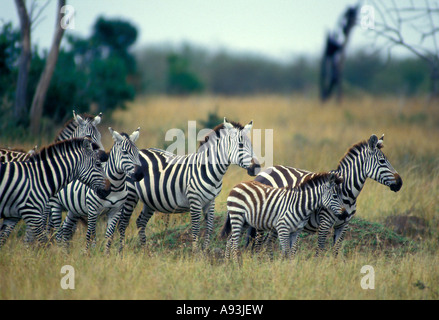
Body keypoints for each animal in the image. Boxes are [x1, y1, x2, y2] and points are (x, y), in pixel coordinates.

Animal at [118, 118, 260, 252]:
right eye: (241, 145)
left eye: (251, 145)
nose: (257, 167)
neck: (208, 169)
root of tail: (141, 151)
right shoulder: (195, 200)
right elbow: (196, 228)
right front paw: (195, 253)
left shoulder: (211, 201)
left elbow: (209, 228)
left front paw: (205, 251)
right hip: (131, 195)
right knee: (123, 223)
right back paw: (121, 251)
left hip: (150, 199)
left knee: (140, 222)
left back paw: (144, 251)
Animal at [248, 134, 402, 256]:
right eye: (382, 161)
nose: (400, 183)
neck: (347, 194)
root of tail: (264, 172)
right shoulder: (324, 224)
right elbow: (320, 251)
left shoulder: (343, 225)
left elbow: (336, 251)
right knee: (258, 246)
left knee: (267, 244)